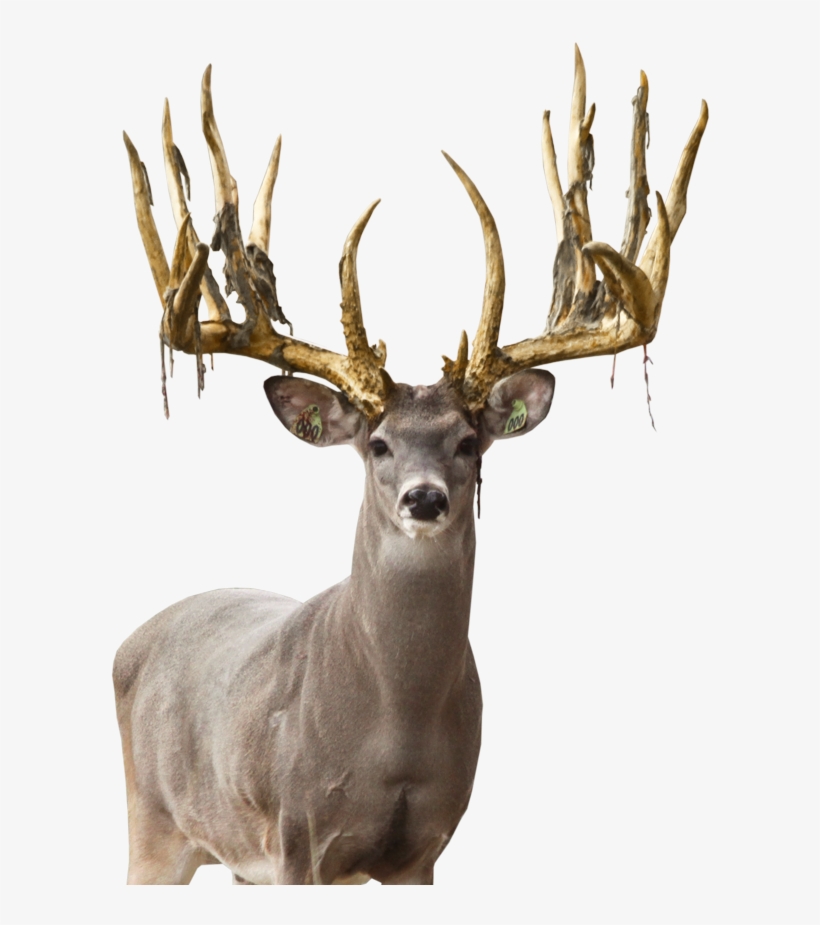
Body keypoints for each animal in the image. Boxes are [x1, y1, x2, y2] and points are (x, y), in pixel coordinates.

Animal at [114, 47, 707, 885]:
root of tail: (131, 639)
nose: (424, 500)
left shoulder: (425, 847)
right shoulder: (296, 836)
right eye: (379, 443)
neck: (392, 726)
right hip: (155, 826)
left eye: (468, 441)